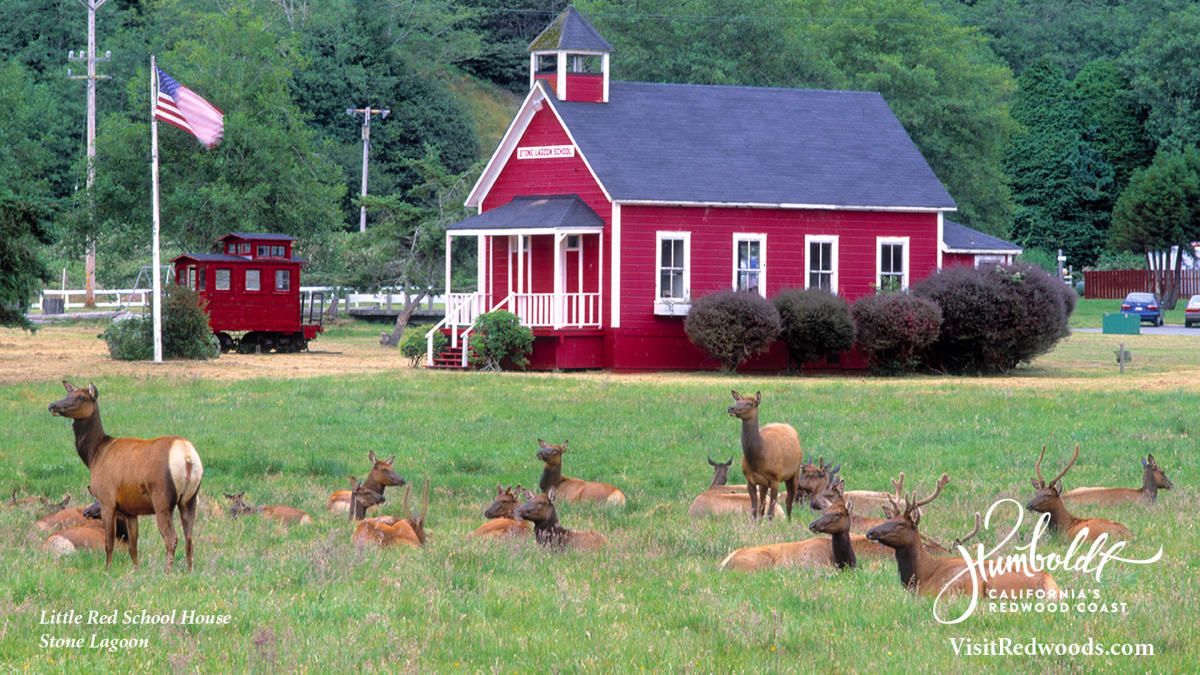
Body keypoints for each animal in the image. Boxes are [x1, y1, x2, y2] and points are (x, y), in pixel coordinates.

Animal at [48, 381, 204, 569]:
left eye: (81, 396)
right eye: (68, 394)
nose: (52, 405)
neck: (94, 455)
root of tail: (188, 457)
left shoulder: (107, 500)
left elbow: (109, 543)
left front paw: (107, 569)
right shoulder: (130, 509)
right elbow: (133, 546)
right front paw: (136, 570)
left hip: (162, 499)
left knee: (171, 538)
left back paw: (167, 571)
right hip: (189, 499)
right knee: (189, 539)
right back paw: (189, 571)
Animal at [724, 386, 801, 516]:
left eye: (750, 403)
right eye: (737, 401)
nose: (730, 408)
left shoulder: (775, 478)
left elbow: (770, 512)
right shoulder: (750, 480)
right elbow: (755, 510)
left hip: (794, 473)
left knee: (789, 502)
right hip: (764, 483)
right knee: (763, 506)